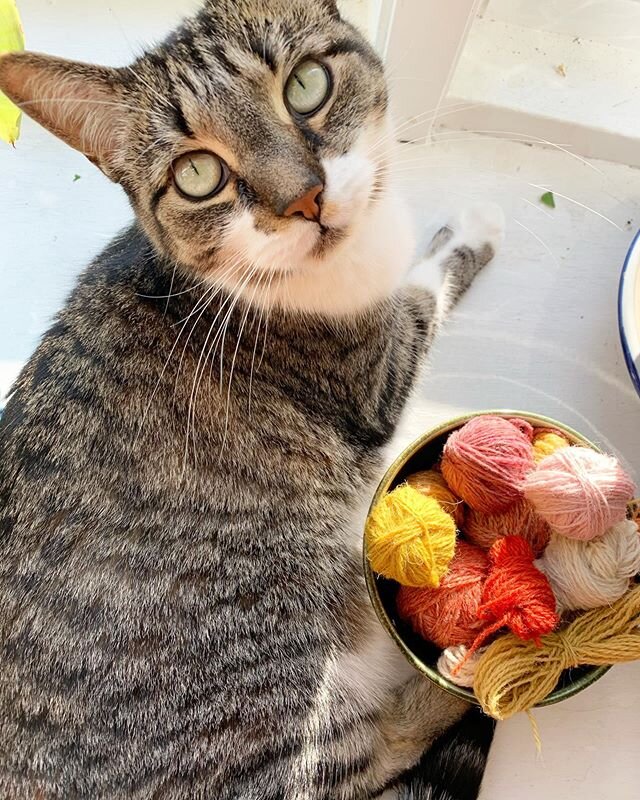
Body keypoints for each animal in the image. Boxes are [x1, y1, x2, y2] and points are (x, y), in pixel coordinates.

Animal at [0, 3, 504, 796]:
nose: (305, 198)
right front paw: (469, 231)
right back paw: (462, 681)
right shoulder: (379, 369)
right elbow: (428, 287)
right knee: (375, 749)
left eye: (306, 86)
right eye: (197, 174)